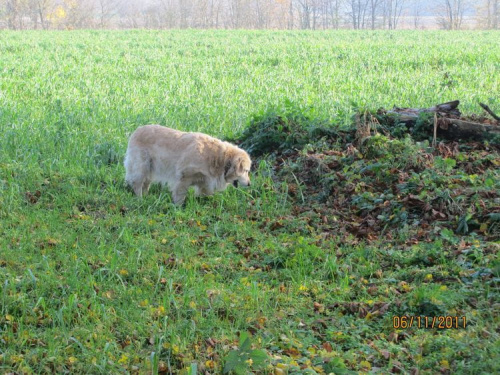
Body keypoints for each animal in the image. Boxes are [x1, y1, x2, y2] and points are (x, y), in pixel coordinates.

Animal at [123, 125, 252, 206]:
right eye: (246, 171)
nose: (250, 184)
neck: (220, 159)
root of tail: (137, 130)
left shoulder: (205, 182)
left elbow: (205, 194)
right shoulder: (184, 177)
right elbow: (180, 194)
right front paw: (178, 208)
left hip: (150, 169)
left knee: (146, 183)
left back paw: (146, 197)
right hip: (141, 166)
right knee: (137, 183)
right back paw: (140, 199)